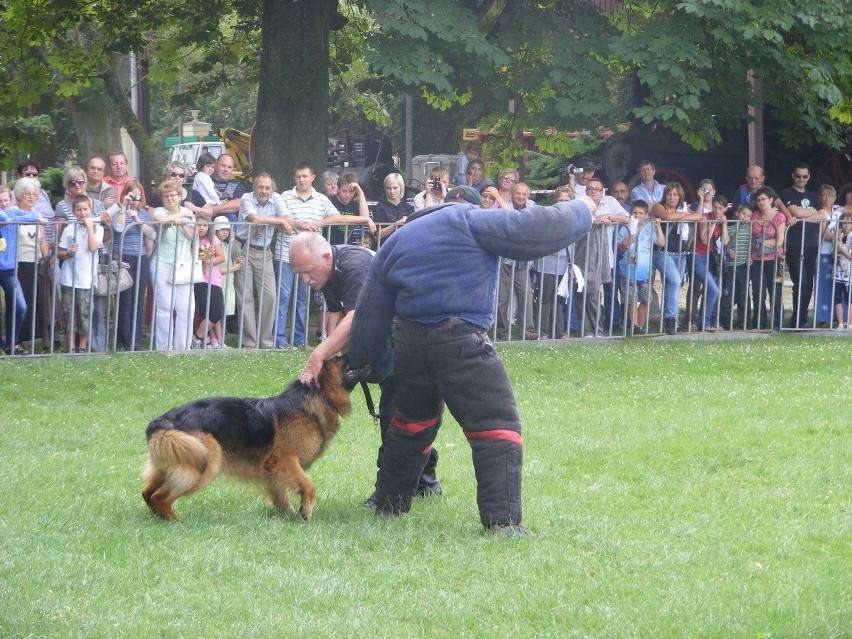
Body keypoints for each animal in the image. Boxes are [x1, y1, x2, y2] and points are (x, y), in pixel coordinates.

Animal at [142, 358, 366, 524]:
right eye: (337, 358)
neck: (317, 396)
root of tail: (163, 421)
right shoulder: (285, 460)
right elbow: (309, 486)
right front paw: (305, 510)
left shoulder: (273, 471)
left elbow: (280, 494)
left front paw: (287, 515)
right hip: (203, 464)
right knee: (159, 497)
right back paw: (175, 521)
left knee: (147, 493)